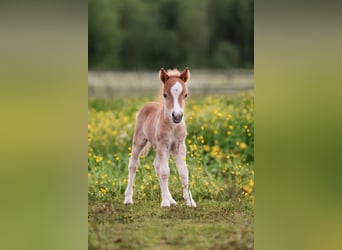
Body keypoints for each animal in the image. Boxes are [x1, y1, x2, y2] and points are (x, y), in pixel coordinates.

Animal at [124, 67, 196, 208]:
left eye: (185, 95)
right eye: (165, 94)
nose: (177, 116)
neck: (173, 127)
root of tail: (147, 105)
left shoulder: (179, 145)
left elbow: (183, 172)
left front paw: (190, 201)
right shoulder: (163, 144)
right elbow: (165, 172)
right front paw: (164, 203)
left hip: (160, 148)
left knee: (156, 165)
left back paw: (171, 199)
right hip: (140, 141)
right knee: (133, 165)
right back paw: (128, 199)